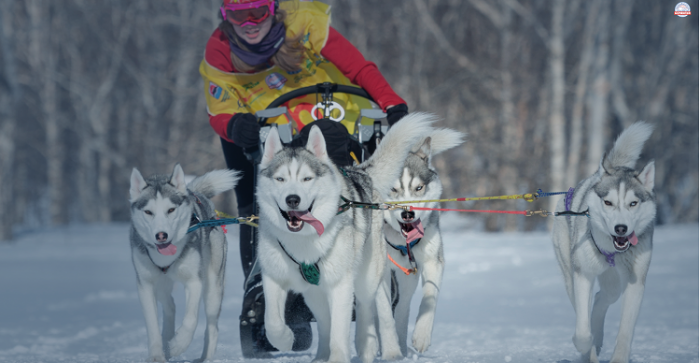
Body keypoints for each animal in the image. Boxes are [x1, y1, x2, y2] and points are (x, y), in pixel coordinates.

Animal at [129, 166, 241, 363]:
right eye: (148, 212)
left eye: (171, 210)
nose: (161, 235)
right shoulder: (145, 285)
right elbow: (152, 324)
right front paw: (157, 355)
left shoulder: (194, 281)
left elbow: (191, 319)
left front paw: (178, 345)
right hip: (161, 284)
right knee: (170, 305)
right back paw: (167, 339)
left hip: (213, 289)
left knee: (212, 327)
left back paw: (205, 357)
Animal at [254, 114, 434, 363]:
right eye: (280, 179)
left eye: (307, 178)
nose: (292, 199)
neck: (304, 241)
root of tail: (361, 172)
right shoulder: (274, 278)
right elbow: (272, 322)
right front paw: (286, 339)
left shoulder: (341, 286)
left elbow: (340, 331)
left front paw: (339, 356)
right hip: (314, 294)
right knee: (324, 321)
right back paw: (321, 355)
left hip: (367, 279)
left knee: (370, 311)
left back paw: (374, 349)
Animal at [378, 129, 464, 358]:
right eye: (393, 189)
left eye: (418, 187)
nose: (408, 213)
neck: (403, 242)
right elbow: (383, 313)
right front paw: (390, 351)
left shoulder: (433, 262)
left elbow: (429, 299)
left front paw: (421, 337)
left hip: (407, 278)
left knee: (402, 308)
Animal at [552, 123, 656, 363]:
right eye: (608, 202)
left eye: (633, 203)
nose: (621, 228)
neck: (612, 250)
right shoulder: (583, 275)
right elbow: (582, 331)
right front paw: (585, 347)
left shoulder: (635, 282)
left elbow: (625, 330)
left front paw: (618, 358)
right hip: (571, 275)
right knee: (589, 307)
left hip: (614, 284)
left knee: (601, 299)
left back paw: (598, 338)